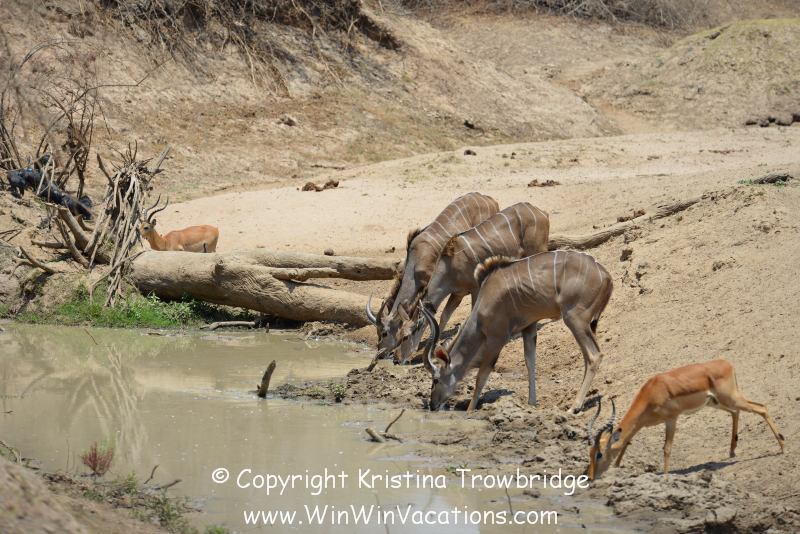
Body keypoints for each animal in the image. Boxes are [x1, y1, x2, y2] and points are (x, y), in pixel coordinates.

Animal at [392, 202, 550, 365]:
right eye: (398, 335)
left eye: (405, 337)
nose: (396, 359)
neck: (449, 265)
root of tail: (542, 213)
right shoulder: (457, 293)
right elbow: (443, 316)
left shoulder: (475, 288)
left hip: (537, 250)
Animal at [419, 250, 613, 414]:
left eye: (435, 380)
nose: (433, 406)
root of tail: (607, 276)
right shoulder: (529, 327)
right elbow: (530, 362)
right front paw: (531, 404)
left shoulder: (497, 338)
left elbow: (482, 374)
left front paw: (469, 412)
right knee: (588, 357)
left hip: (574, 319)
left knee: (594, 355)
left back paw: (574, 407)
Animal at [585, 360, 787, 481]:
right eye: (590, 452)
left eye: (599, 454)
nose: (590, 477)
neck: (652, 392)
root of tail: (726, 363)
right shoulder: (644, 424)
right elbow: (626, 442)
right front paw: (617, 467)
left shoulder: (672, 419)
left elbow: (666, 448)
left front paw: (665, 476)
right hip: (716, 402)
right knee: (736, 412)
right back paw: (732, 451)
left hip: (731, 398)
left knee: (762, 407)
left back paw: (783, 448)